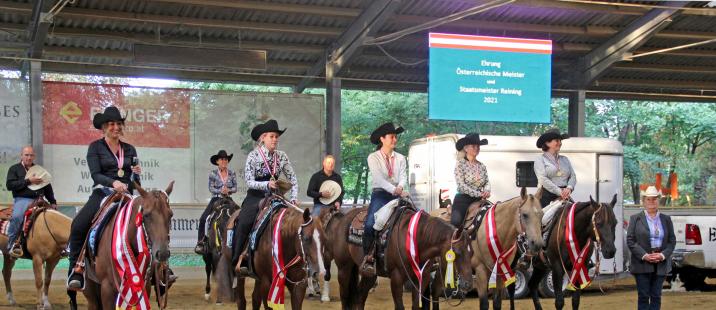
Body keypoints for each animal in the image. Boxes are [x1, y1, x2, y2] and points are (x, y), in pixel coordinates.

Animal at [69, 182, 175, 310]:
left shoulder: (145, 286)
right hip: (90, 291)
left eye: (170, 215)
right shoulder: (107, 288)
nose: (163, 253)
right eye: (146, 215)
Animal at [328, 199, 476, 310]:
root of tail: (345, 217)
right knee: (345, 297)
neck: (415, 239)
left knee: (360, 297)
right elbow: (400, 306)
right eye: (456, 252)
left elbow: (416, 306)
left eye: (471, 252)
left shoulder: (422, 277)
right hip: (344, 268)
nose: (468, 284)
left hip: (369, 274)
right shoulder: (396, 278)